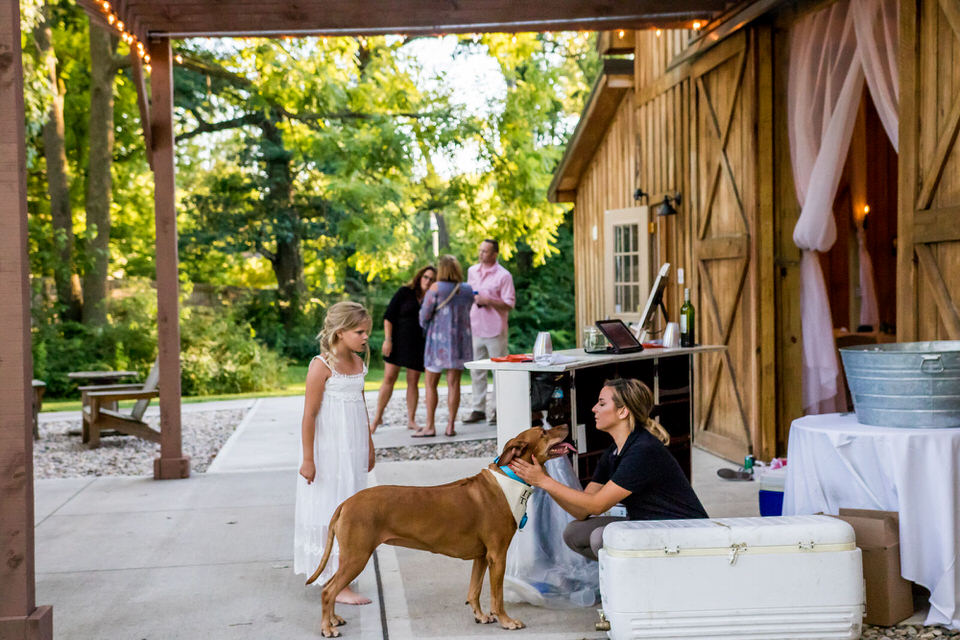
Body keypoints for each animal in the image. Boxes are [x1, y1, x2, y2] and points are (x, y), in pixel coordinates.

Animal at [308, 422, 572, 636]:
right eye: (543, 432)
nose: (565, 424)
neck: (510, 480)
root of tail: (346, 502)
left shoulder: (482, 556)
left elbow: (474, 590)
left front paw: (481, 616)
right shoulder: (497, 555)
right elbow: (497, 596)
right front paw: (506, 621)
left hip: (351, 556)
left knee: (329, 585)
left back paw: (333, 619)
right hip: (357, 555)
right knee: (328, 591)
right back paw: (326, 628)